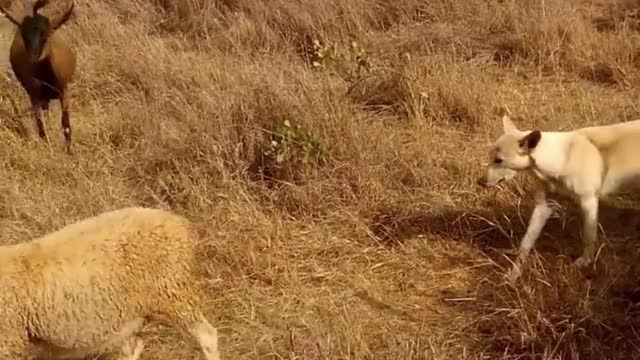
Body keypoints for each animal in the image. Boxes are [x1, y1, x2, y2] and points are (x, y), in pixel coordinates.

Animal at [478, 114, 640, 280]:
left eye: (498, 160)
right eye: (491, 157)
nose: (480, 182)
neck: (561, 159)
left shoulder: (589, 202)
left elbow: (588, 237)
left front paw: (585, 262)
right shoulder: (543, 207)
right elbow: (526, 242)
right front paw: (514, 273)